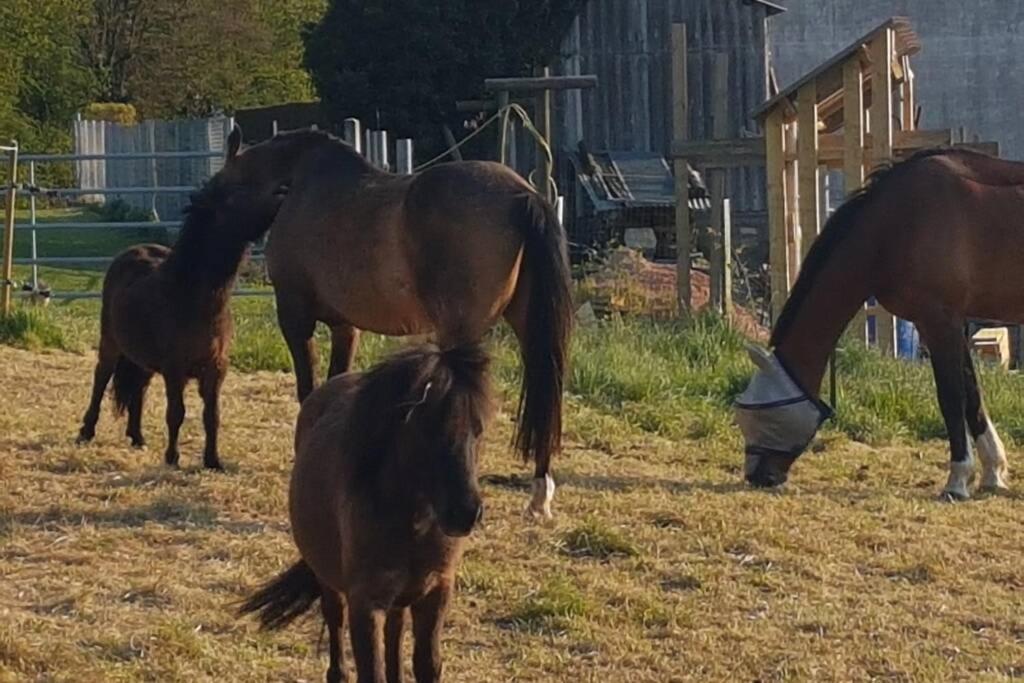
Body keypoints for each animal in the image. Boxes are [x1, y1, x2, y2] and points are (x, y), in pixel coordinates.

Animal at [75, 171, 270, 471]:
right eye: (234, 196)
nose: (282, 191)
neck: (194, 299)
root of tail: (130, 252)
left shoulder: (216, 369)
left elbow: (212, 416)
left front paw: (213, 460)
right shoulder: (174, 369)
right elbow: (176, 413)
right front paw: (172, 458)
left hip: (142, 358)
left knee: (139, 389)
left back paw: (138, 437)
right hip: (111, 343)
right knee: (100, 379)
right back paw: (86, 432)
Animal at [211, 126, 573, 518]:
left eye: (222, 194)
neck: (299, 184)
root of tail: (523, 195)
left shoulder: (296, 317)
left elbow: (307, 389)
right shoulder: (345, 326)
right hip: (528, 329)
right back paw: (539, 495)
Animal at [733, 149, 1019, 499]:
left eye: (759, 413)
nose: (757, 476)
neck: (897, 222)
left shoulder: (939, 321)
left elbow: (951, 397)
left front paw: (957, 480)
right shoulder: (948, 323)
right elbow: (972, 393)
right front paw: (992, 472)